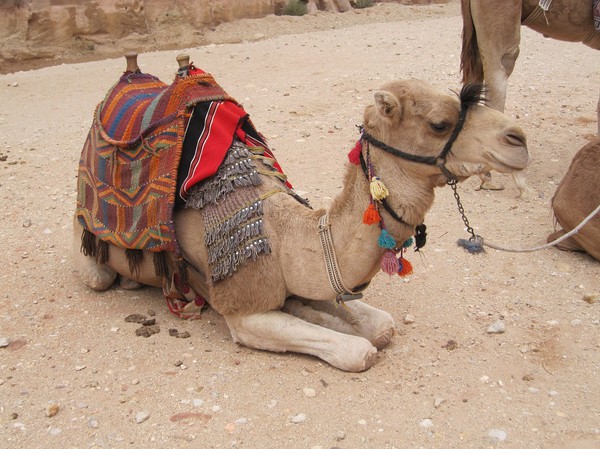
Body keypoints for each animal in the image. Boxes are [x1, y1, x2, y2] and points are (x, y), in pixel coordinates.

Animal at [73, 54, 529, 372]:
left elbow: (379, 324)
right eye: (438, 123)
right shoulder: (243, 310)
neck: (283, 235)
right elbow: (359, 351)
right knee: (97, 273)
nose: (518, 139)